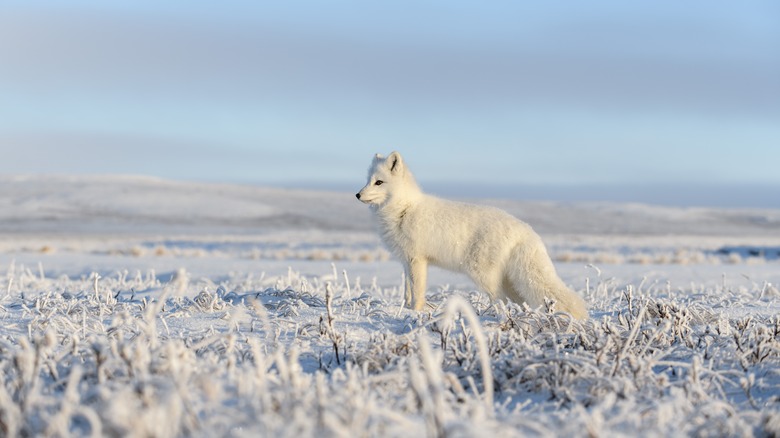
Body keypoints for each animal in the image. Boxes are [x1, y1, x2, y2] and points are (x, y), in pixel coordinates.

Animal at [356, 152, 588, 320]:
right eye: (368, 180)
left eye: (379, 182)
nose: (357, 195)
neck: (404, 209)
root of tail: (524, 229)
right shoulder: (406, 262)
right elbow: (406, 292)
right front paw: (404, 309)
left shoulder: (417, 261)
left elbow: (417, 293)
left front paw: (415, 313)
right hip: (508, 281)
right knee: (518, 302)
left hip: (483, 275)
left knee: (501, 301)